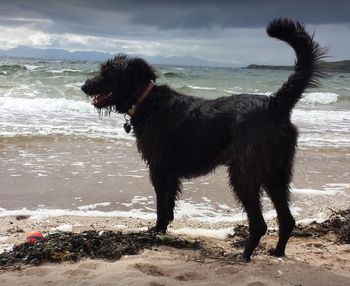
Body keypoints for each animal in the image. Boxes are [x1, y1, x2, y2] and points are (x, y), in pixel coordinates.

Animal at [82, 18, 326, 262]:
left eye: (108, 73)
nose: (84, 86)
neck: (147, 101)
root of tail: (275, 105)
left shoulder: (159, 169)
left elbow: (162, 204)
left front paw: (157, 230)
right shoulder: (170, 174)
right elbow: (168, 205)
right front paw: (163, 229)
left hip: (244, 174)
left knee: (259, 224)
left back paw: (244, 255)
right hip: (277, 175)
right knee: (287, 220)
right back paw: (277, 252)